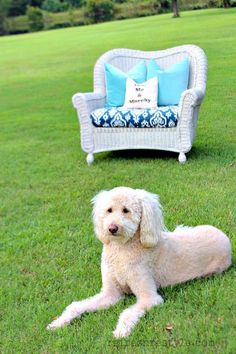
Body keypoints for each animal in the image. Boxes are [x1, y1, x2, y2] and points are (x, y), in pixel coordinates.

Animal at [46, 185, 232, 338]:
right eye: (109, 210)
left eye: (126, 210)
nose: (112, 228)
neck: (122, 250)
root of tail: (225, 238)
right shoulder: (110, 293)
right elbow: (76, 305)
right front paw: (58, 322)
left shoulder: (149, 297)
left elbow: (127, 313)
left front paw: (121, 331)